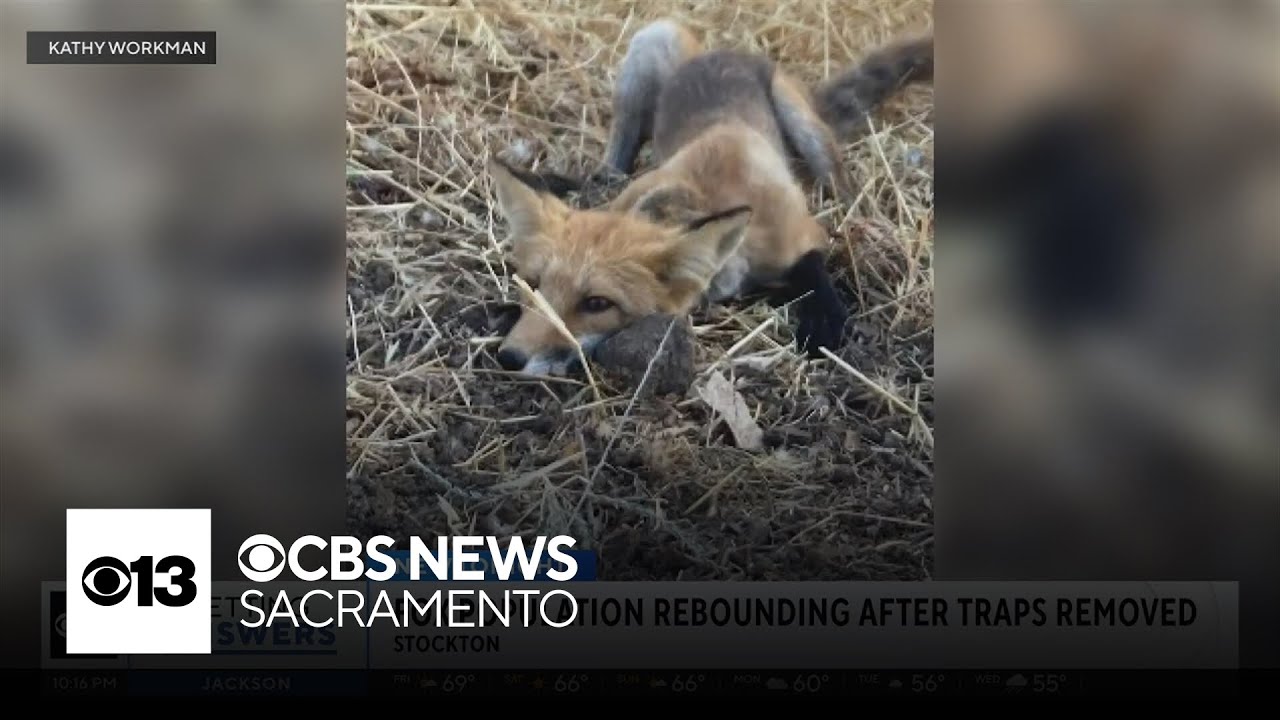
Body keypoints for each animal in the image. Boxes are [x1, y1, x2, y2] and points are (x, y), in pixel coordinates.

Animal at [487, 19, 932, 375]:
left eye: (596, 304)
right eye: (533, 284)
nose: (509, 358)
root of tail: (722, 49)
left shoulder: (802, 233)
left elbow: (813, 273)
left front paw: (824, 322)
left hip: (804, 125)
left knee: (842, 183)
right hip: (648, 48)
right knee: (611, 166)